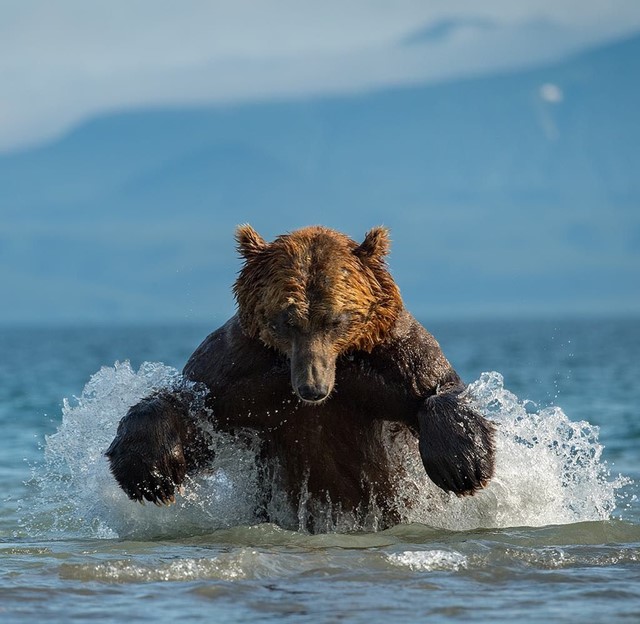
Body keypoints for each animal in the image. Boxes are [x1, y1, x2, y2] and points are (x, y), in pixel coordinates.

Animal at [106, 227, 496, 528]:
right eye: (286, 319)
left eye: (336, 319)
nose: (312, 388)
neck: (340, 363)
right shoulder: (236, 371)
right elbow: (192, 412)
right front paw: (148, 474)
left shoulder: (393, 359)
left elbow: (433, 388)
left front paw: (464, 465)